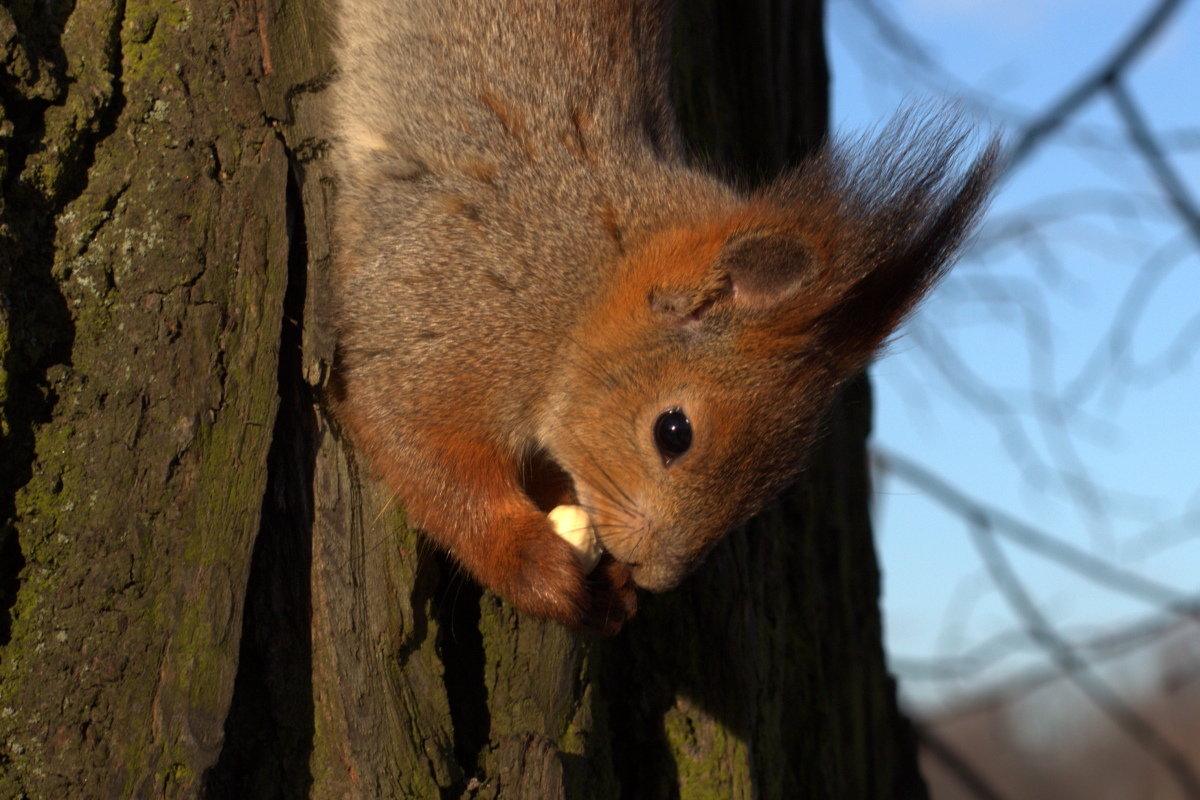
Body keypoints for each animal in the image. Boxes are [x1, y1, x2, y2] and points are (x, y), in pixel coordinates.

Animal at [328, 1, 993, 638]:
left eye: (780, 479)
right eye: (673, 432)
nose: (654, 577)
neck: (589, 286)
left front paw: (611, 591)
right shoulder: (444, 310)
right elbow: (416, 445)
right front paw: (537, 568)